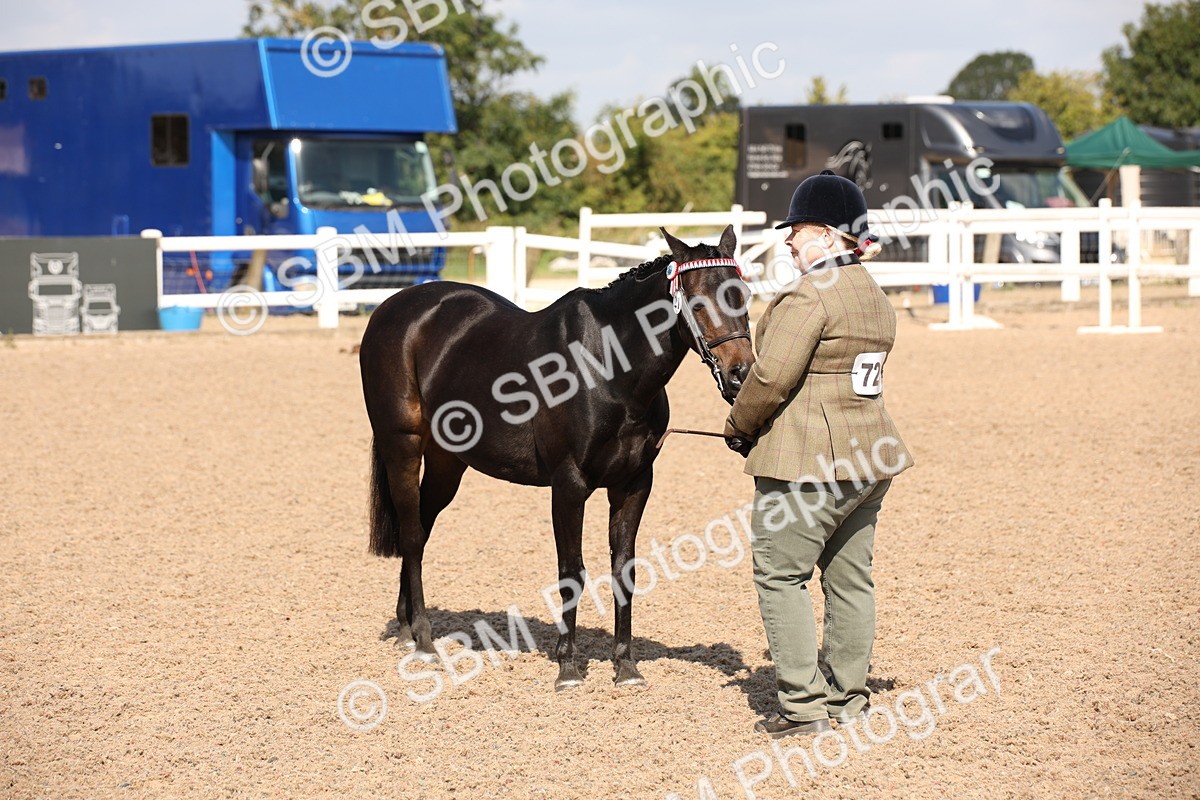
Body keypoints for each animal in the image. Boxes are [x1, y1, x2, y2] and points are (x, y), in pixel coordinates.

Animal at [358, 225, 756, 690]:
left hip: (446, 462)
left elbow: (624, 570)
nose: (741, 375)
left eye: (743, 295)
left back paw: (406, 627)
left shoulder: (634, 484)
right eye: (696, 301)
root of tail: (392, 306)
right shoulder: (569, 485)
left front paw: (626, 667)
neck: (608, 369)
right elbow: (572, 571)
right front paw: (568, 667)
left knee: (420, 527)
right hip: (401, 446)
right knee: (411, 534)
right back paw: (422, 640)